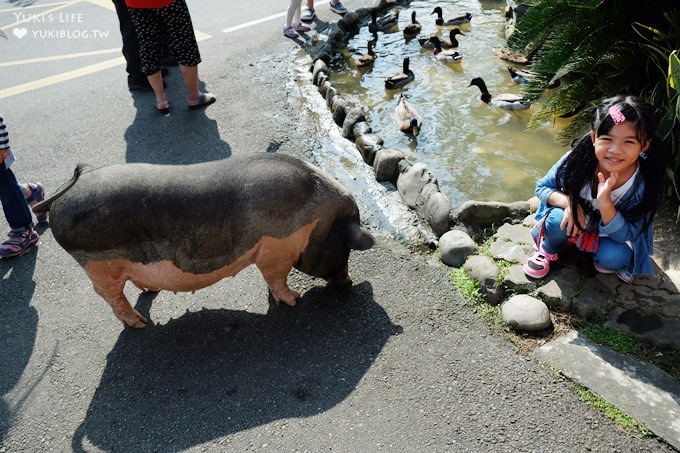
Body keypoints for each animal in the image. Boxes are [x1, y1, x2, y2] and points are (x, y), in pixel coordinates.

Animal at [34, 154, 374, 326]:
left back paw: (149, 291)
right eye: (345, 249)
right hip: (98, 266)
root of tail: (74, 184)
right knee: (110, 296)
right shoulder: (277, 250)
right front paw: (295, 300)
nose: (349, 282)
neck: (318, 219)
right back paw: (140, 324)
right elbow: (276, 278)